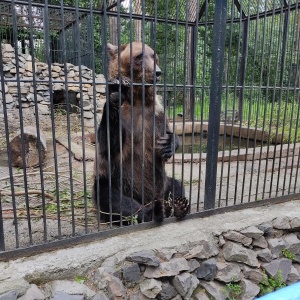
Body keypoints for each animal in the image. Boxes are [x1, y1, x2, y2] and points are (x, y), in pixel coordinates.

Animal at [92, 41, 189, 224]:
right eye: (138, 56)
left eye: (154, 56)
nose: (157, 72)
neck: (138, 100)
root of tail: (149, 199)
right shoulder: (124, 119)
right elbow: (108, 144)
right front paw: (115, 93)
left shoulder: (156, 114)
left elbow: (167, 132)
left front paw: (169, 143)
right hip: (112, 180)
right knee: (113, 198)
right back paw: (153, 212)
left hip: (162, 183)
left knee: (176, 185)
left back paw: (178, 206)